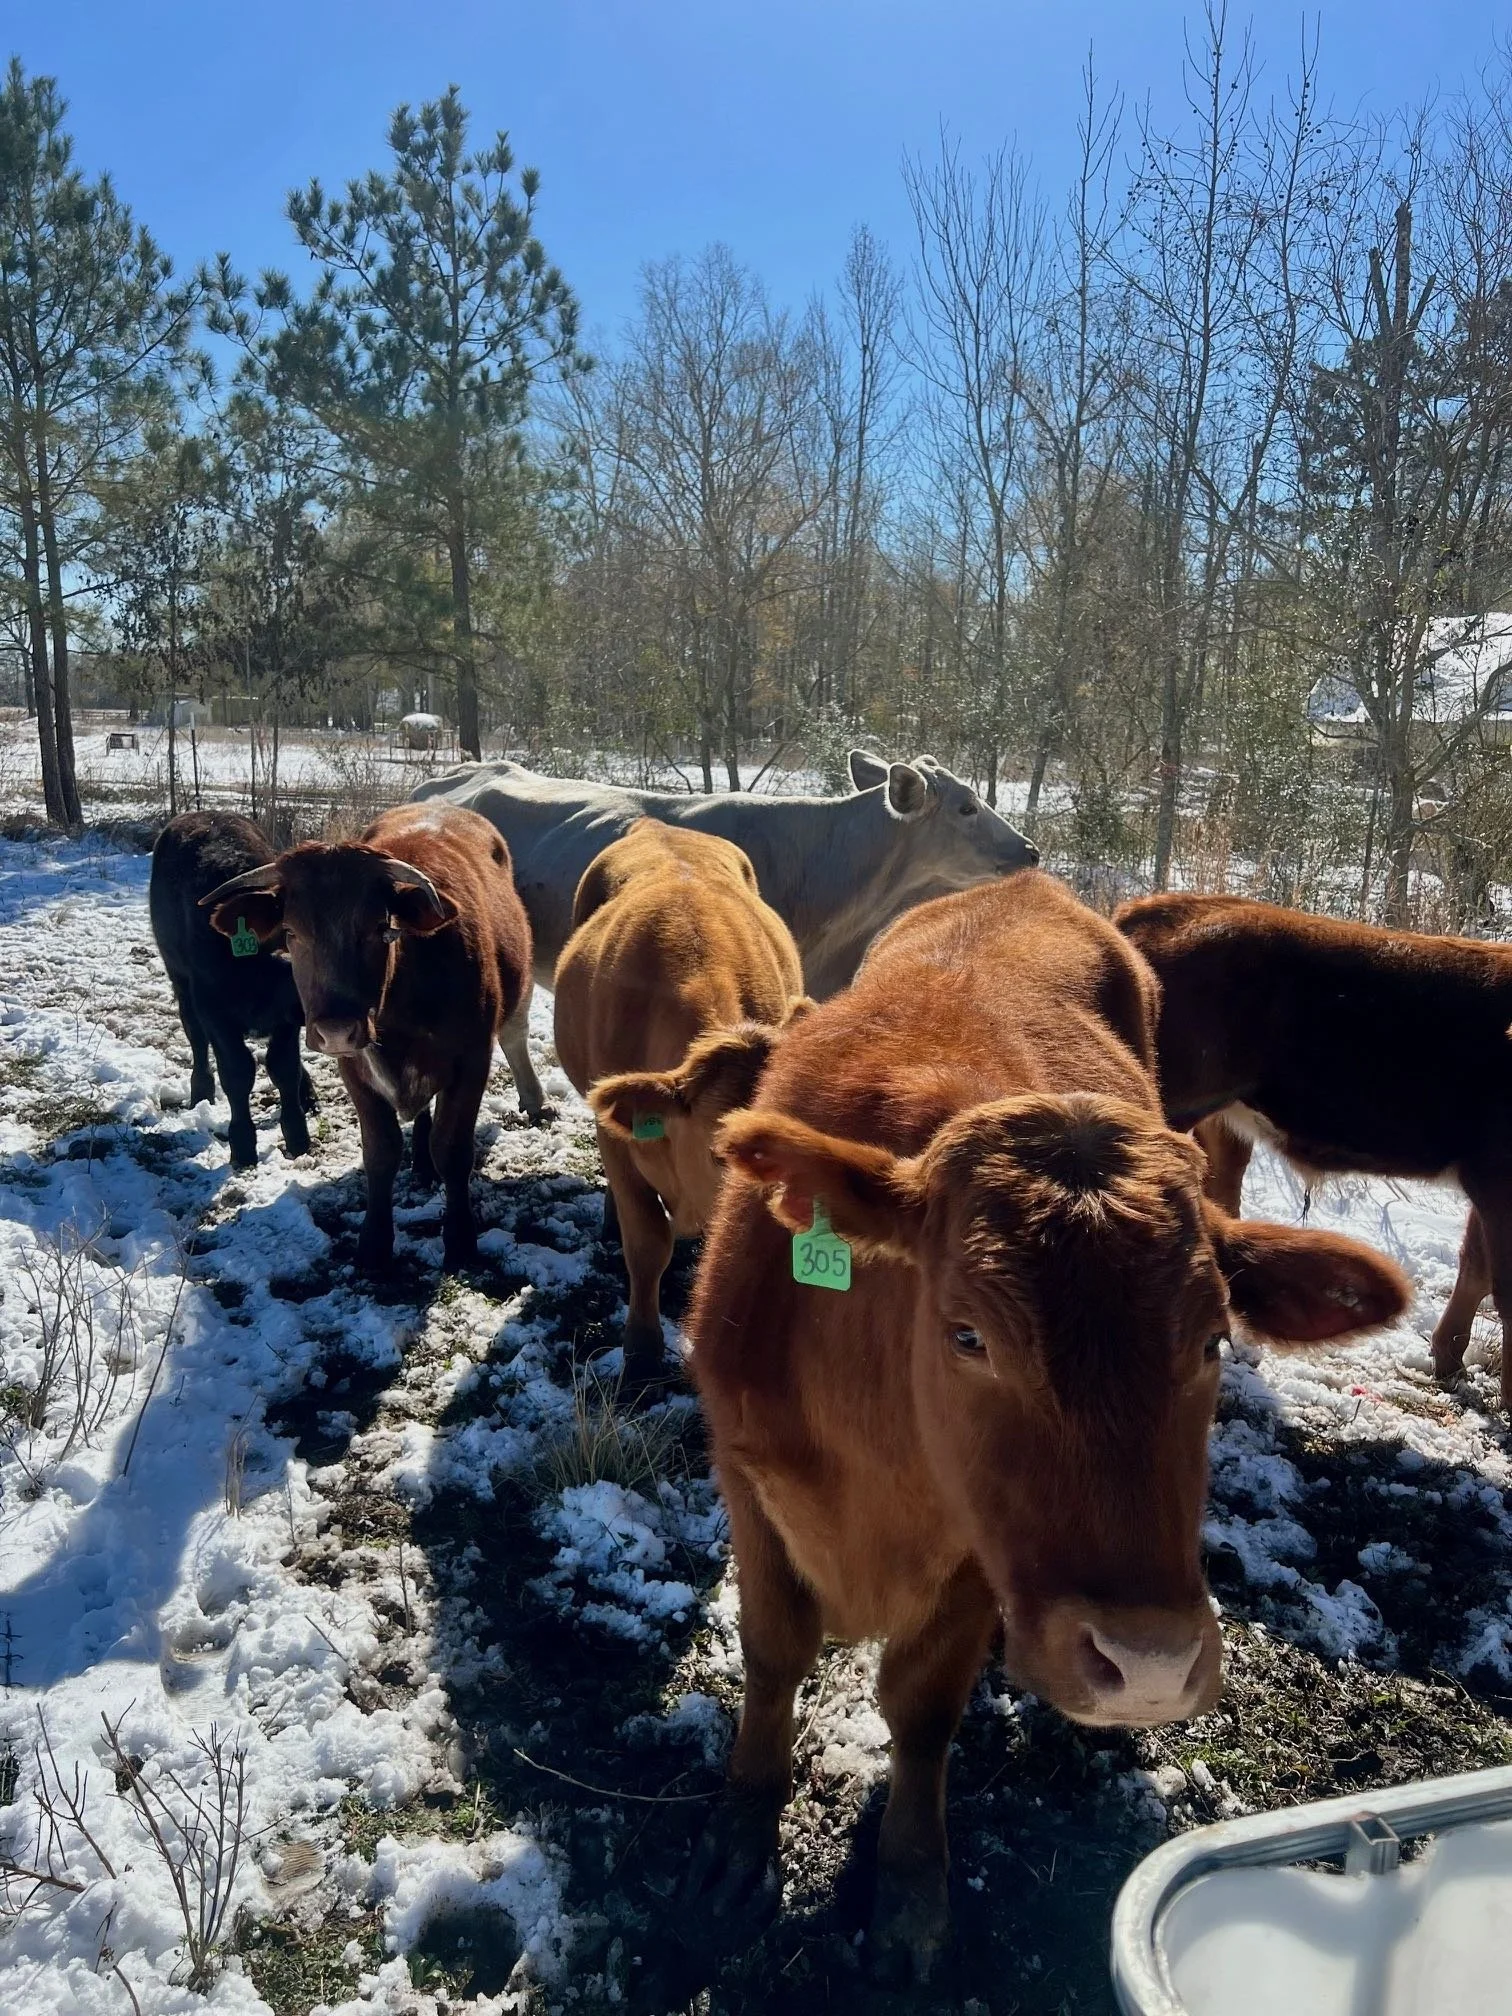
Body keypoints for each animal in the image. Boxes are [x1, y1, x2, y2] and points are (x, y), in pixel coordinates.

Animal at [149, 810, 315, 1169]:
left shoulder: (287, 1019)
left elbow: (284, 1066)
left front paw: (298, 1136)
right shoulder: (214, 1011)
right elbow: (238, 1072)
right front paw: (242, 1145)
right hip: (180, 980)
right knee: (195, 1037)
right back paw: (201, 1091)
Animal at [201, 803, 538, 1273]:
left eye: (379, 927)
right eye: (291, 933)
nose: (336, 1029)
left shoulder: (472, 1060)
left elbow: (453, 1150)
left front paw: (460, 1242)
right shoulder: (355, 1069)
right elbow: (380, 1152)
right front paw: (374, 1246)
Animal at [683, 872, 1410, 1982]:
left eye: (1213, 1340)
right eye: (968, 1335)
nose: (1148, 1662)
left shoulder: (981, 1558)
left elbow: (921, 1708)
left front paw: (910, 1887)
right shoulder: (746, 1477)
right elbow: (773, 1652)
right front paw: (740, 1829)